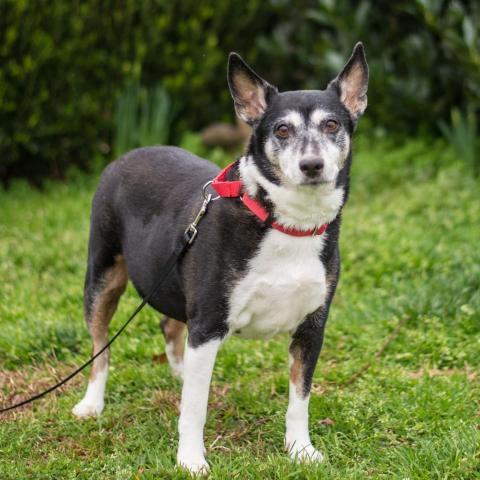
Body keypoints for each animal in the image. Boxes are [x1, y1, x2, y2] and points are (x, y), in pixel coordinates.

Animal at [73, 42, 370, 472]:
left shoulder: (312, 326)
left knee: (171, 325)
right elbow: (194, 409)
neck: (285, 223)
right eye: (282, 130)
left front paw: (300, 449)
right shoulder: (209, 323)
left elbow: (300, 397)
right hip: (103, 274)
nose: (311, 165)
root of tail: (128, 153)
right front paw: (190, 460)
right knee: (100, 345)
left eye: (332, 125)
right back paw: (92, 403)